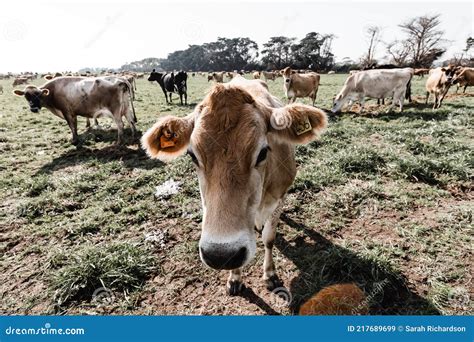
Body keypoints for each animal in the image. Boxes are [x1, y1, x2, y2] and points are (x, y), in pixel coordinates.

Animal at [140, 76, 326, 296]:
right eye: (192, 155)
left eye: (263, 152)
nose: (221, 254)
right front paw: (235, 277)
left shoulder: (279, 197)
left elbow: (269, 238)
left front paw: (270, 274)